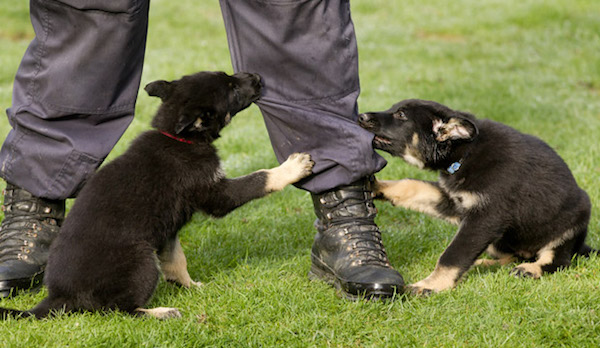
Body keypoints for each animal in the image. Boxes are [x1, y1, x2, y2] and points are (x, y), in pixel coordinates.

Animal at [0, 70, 312, 318]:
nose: (257, 77)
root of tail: (58, 297)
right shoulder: (215, 193)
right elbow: (258, 178)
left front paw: (191, 286)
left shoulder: (168, 228)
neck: (178, 137)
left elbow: (176, 260)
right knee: (117, 310)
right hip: (142, 260)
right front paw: (292, 167)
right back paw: (160, 312)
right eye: (232, 90)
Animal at [358, 99, 592, 294]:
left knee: (557, 261)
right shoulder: (453, 201)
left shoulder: (485, 217)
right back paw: (484, 264)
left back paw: (529, 269)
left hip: (571, 225)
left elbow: (453, 254)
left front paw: (431, 285)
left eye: (401, 115)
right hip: (499, 239)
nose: (361, 116)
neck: (464, 153)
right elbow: (413, 187)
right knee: (511, 256)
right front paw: (377, 186)